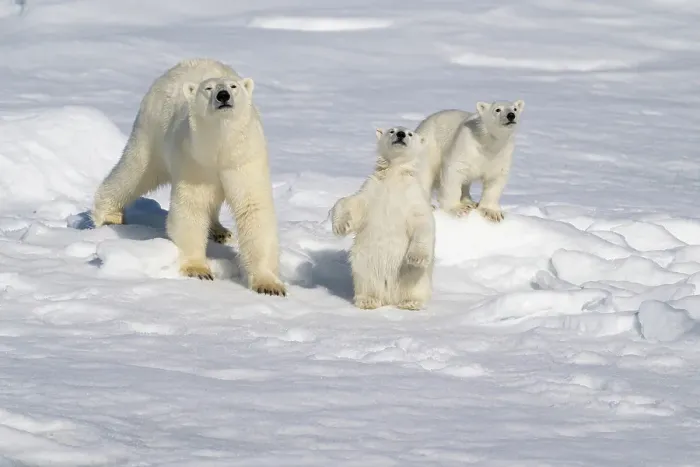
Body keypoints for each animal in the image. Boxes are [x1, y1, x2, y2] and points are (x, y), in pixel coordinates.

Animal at [91, 58, 286, 296]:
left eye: (233, 86)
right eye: (208, 89)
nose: (223, 96)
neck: (220, 149)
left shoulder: (244, 160)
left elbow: (253, 209)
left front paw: (269, 285)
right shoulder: (194, 161)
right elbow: (191, 207)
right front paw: (198, 270)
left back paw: (219, 231)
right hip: (151, 132)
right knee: (133, 171)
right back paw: (109, 216)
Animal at [330, 126, 435, 310]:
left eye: (410, 133)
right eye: (392, 130)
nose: (400, 134)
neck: (394, 175)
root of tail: (390, 298)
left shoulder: (413, 195)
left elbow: (422, 221)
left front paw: (416, 257)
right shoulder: (372, 189)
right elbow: (352, 202)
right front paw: (341, 225)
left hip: (413, 277)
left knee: (414, 282)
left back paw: (410, 302)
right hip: (365, 266)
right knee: (366, 279)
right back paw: (368, 300)